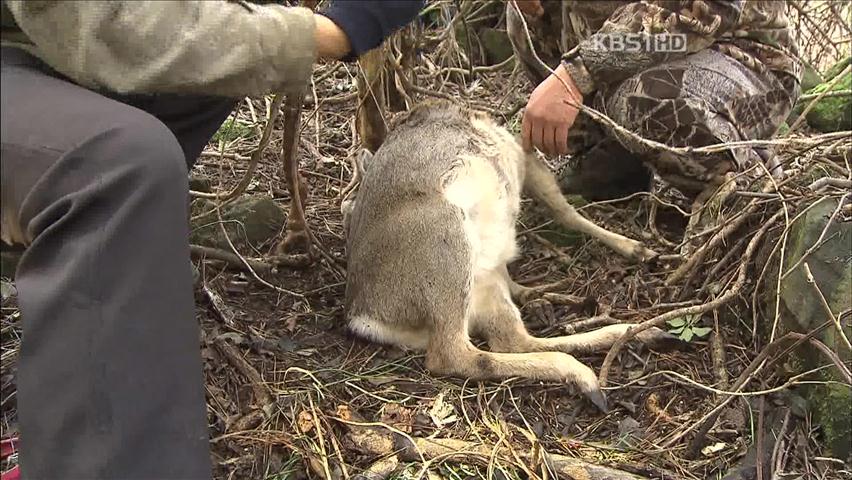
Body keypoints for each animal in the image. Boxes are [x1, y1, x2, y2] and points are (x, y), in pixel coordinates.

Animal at [340, 100, 672, 408]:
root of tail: (365, 317)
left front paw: (637, 249)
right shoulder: (522, 149)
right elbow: (562, 208)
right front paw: (637, 247)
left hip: (483, 280)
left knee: (511, 338)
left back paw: (639, 333)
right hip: (447, 244)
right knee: (453, 354)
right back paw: (585, 373)